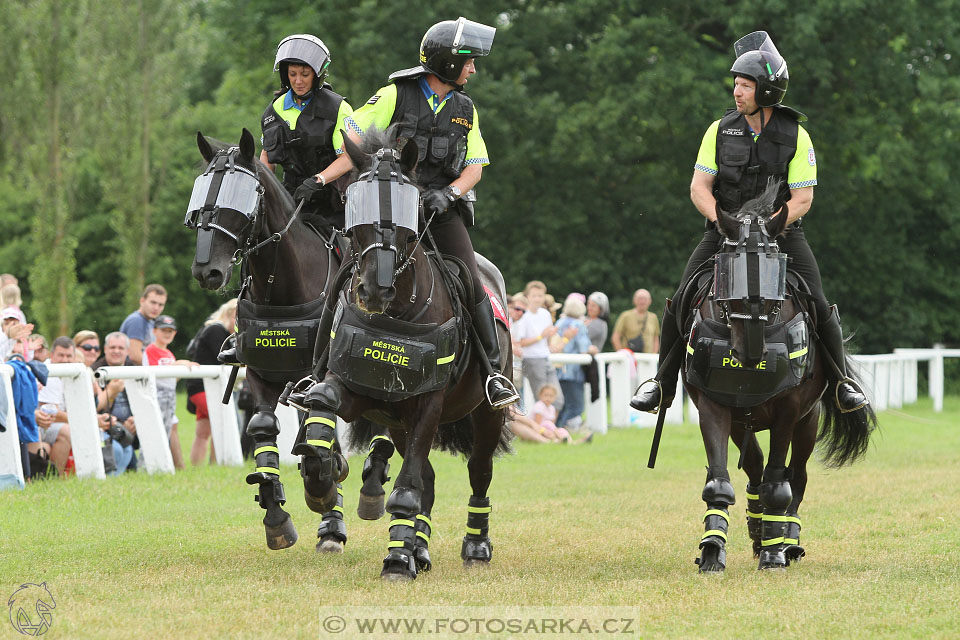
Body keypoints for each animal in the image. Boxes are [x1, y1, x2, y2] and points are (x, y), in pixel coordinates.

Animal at [188, 129, 390, 552]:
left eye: (243, 197)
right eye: (200, 198)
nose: (206, 270)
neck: (281, 287)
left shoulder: (324, 377)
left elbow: (321, 443)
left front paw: (328, 494)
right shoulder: (262, 375)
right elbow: (264, 429)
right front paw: (276, 514)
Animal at [292, 127, 512, 584]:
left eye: (411, 204)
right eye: (353, 201)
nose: (374, 289)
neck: (397, 311)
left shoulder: (428, 402)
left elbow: (408, 488)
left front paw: (395, 561)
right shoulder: (360, 390)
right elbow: (323, 403)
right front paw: (320, 480)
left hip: (485, 413)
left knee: (478, 471)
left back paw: (474, 546)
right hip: (398, 423)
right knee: (427, 476)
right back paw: (419, 550)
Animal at [676, 182, 876, 572]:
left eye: (775, 271)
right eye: (727, 272)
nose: (751, 351)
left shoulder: (788, 411)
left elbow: (778, 484)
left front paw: (773, 553)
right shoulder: (714, 405)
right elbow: (719, 481)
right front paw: (712, 550)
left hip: (807, 422)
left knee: (795, 476)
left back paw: (787, 541)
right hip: (743, 421)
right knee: (754, 468)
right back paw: (758, 530)